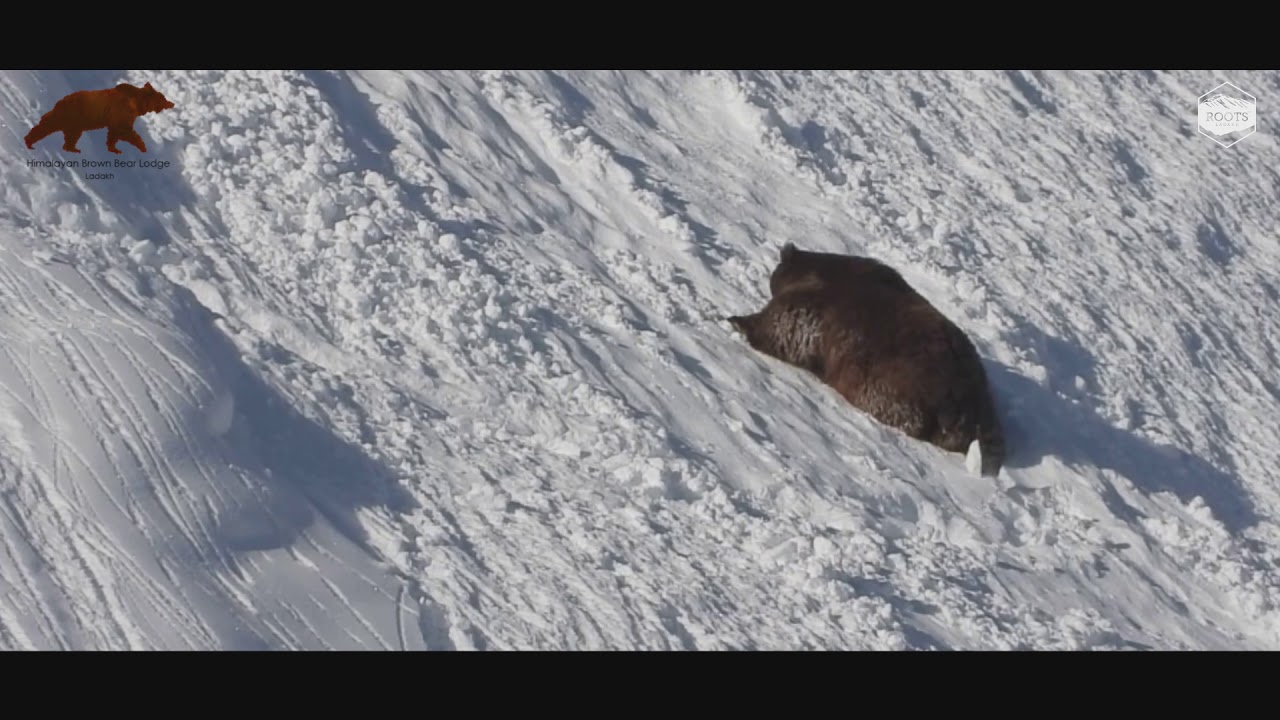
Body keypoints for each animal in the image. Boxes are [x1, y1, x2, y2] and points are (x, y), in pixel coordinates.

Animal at [24, 82, 175, 155]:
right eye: (163, 99)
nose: (171, 103)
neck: (138, 104)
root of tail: (62, 100)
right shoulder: (121, 112)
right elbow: (125, 131)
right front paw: (142, 146)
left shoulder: (117, 118)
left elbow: (114, 134)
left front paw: (115, 149)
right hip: (73, 114)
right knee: (50, 125)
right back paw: (30, 141)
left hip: (74, 122)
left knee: (68, 135)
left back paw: (72, 148)